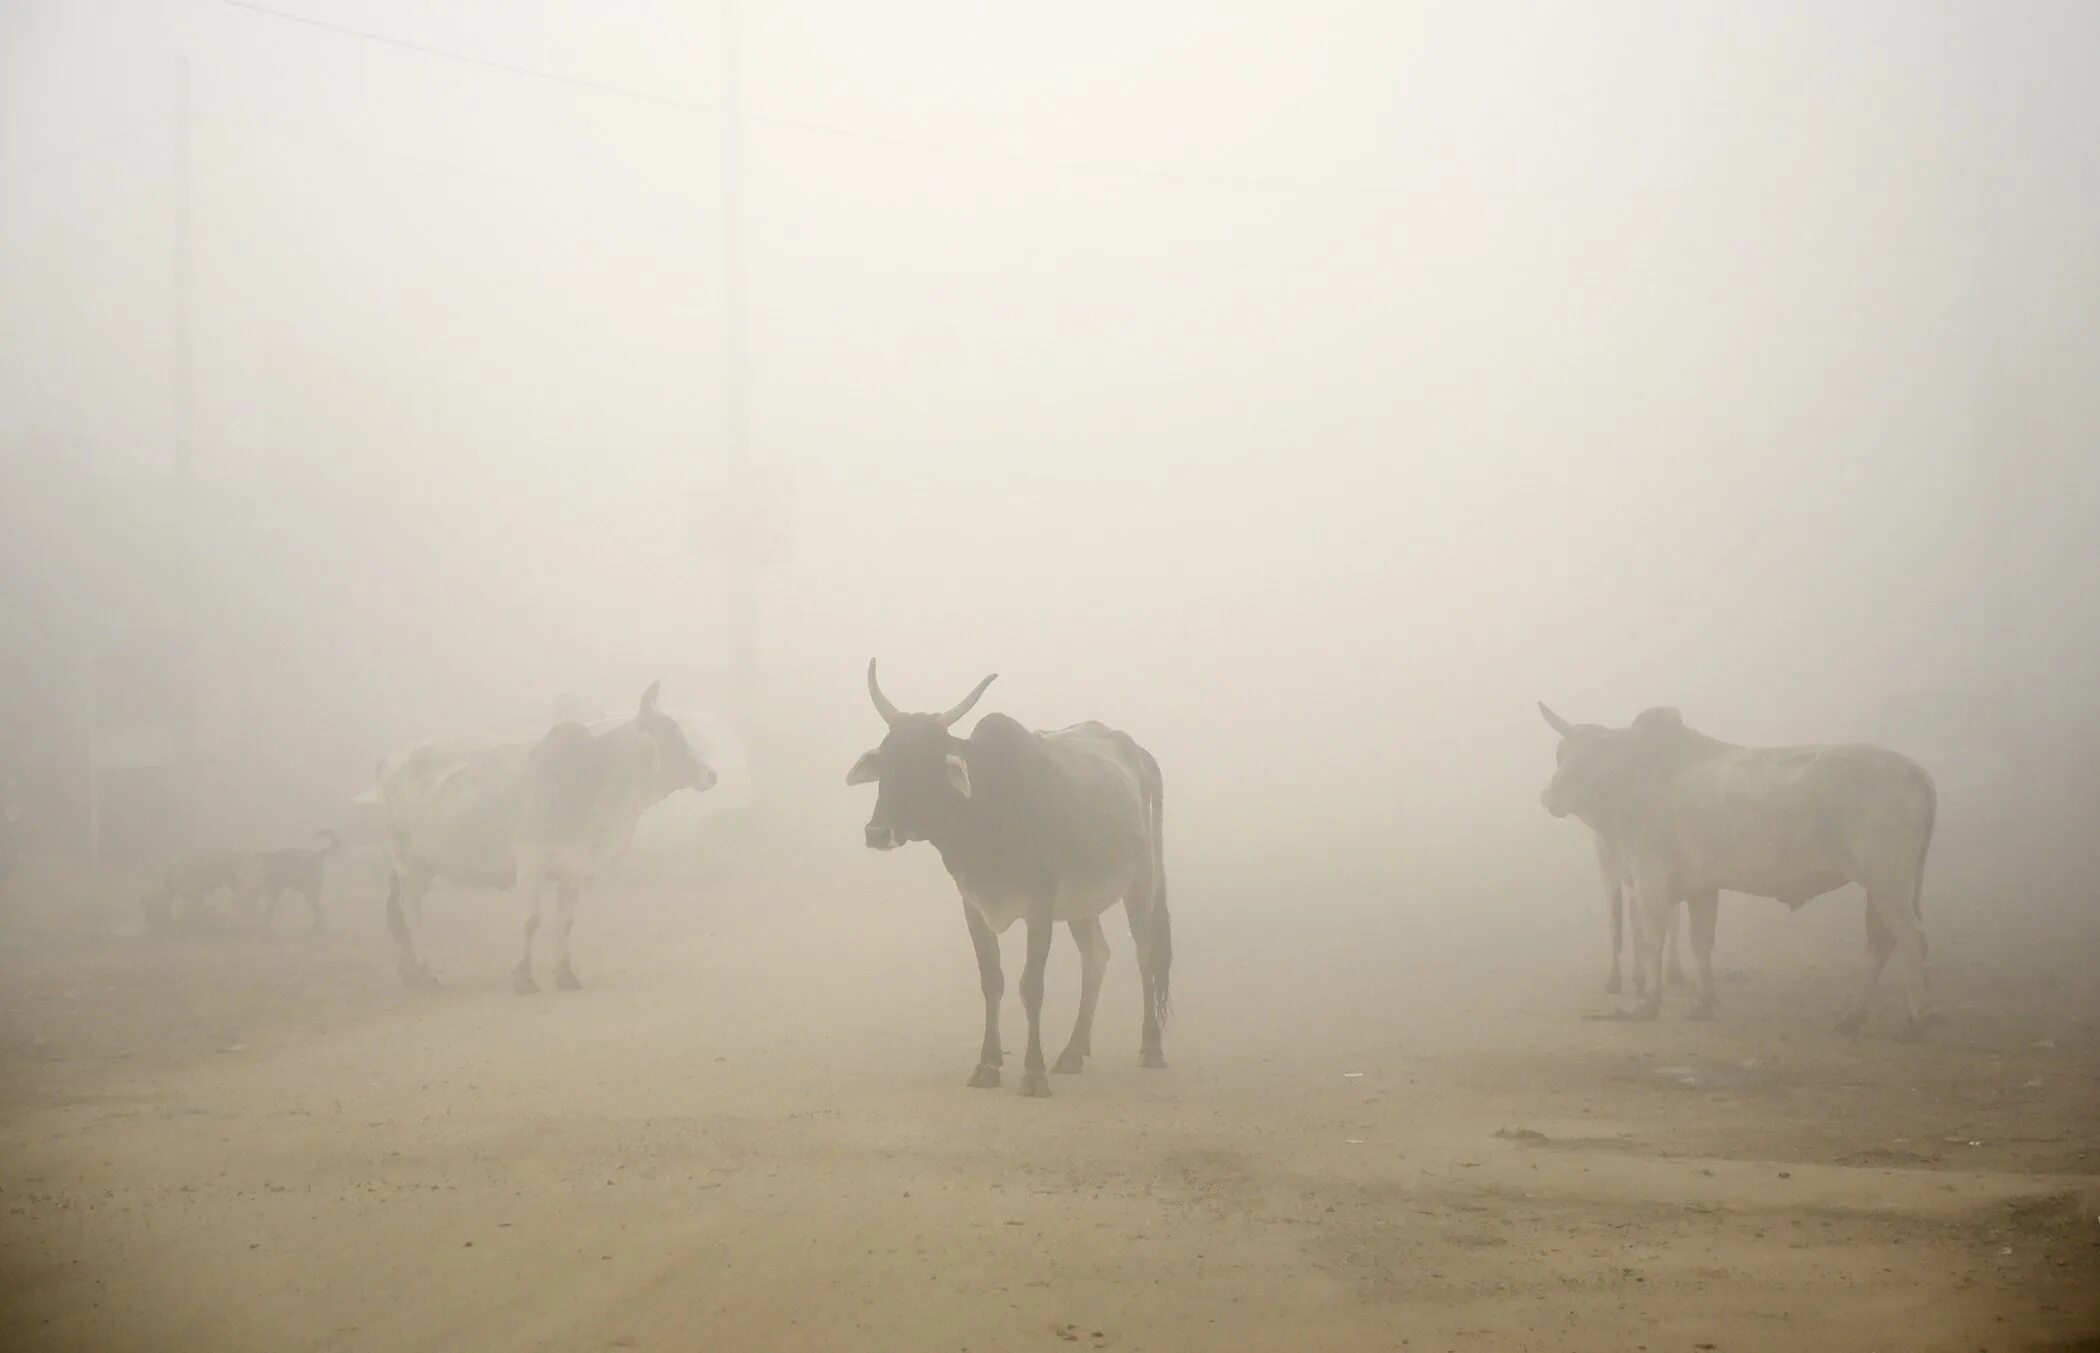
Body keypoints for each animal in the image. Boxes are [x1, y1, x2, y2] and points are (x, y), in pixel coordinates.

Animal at [369, 680, 713, 987]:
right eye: (670, 734)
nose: (712, 774)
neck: (593, 781)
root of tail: (389, 760)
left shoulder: (574, 868)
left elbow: (565, 923)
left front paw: (565, 974)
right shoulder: (530, 864)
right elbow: (531, 920)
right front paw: (523, 976)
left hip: (419, 864)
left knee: (398, 912)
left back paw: (409, 972)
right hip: (407, 860)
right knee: (411, 913)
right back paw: (424, 972)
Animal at [848, 663, 1176, 1100]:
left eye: (922, 764)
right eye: (885, 763)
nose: (877, 832)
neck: (991, 807)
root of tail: (1138, 753)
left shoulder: (1040, 905)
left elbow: (1031, 985)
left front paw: (1033, 1072)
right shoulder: (973, 904)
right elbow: (992, 981)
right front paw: (988, 1065)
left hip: (1142, 879)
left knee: (1144, 951)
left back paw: (1150, 1046)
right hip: (1081, 901)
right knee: (1096, 956)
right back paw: (1073, 1051)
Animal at [1545, 710, 1931, 1037]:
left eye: (1591, 757)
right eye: (1561, 755)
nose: (1548, 796)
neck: (1635, 779)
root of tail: (1915, 771)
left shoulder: (1650, 880)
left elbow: (1652, 941)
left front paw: (1647, 1004)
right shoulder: (1701, 887)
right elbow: (1701, 943)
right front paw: (1701, 1004)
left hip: (1888, 884)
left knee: (1912, 938)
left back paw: (1913, 1021)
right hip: (1884, 889)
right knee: (1880, 942)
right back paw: (1851, 1017)